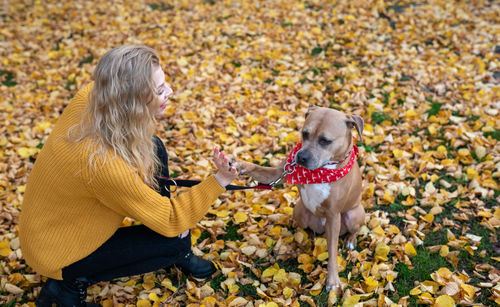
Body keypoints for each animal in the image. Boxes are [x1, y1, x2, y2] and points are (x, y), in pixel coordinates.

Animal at [232, 107, 366, 294]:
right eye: (304, 133)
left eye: (325, 141)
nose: (301, 157)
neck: (321, 170)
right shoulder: (278, 173)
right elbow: (259, 169)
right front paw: (239, 164)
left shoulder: (333, 215)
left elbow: (332, 252)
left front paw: (333, 281)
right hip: (299, 210)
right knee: (308, 229)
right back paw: (306, 239)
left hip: (353, 214)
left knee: (354, 229)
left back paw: (350, 241)